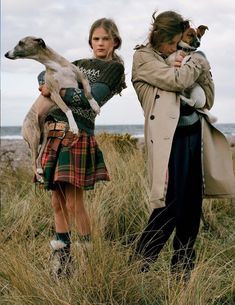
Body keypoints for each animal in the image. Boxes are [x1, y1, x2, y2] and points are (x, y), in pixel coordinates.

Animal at [4, 36, 100, 182]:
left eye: (21, 43)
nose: (6, 54)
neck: (56, 65)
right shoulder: (54, 93)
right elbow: (67, 109)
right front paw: (74, 126)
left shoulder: (81, 78)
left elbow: (88, 92)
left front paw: (94, 105)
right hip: (34, 136)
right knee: (32, 160)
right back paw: (39, 177)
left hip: (44, 135)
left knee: (38, 156)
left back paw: (40, 170)